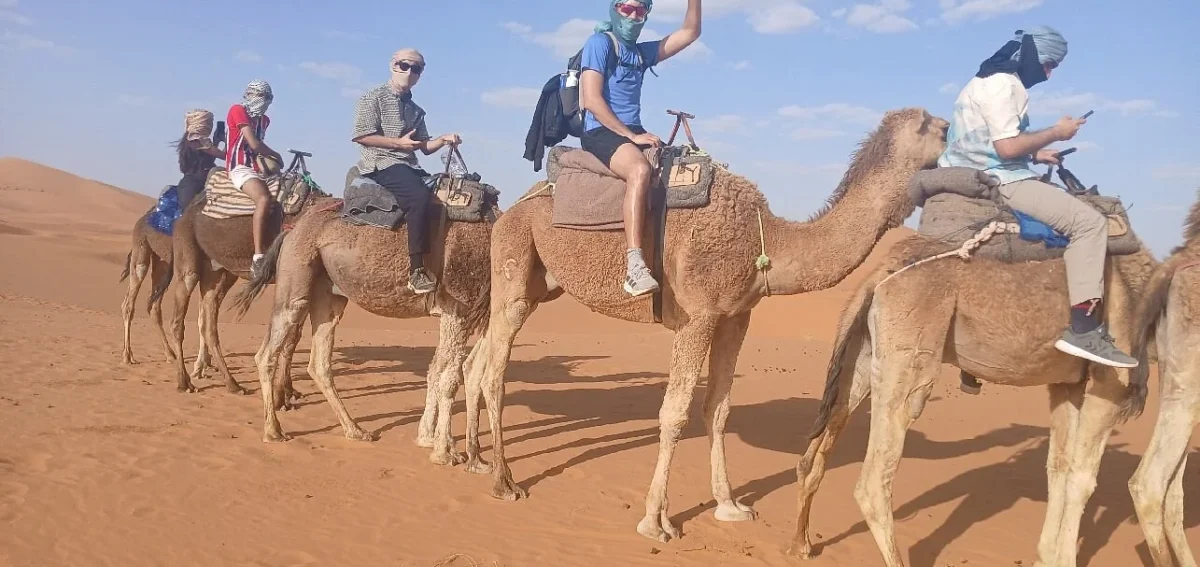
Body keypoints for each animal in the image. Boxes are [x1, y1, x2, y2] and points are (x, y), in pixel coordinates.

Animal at [230, 196, 495, 464]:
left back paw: (355, 431)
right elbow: (449, 378)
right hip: (296, 272)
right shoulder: (459, 307)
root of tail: (290, 232)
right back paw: (273, 431)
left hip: (328, 293)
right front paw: (445, 452)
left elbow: (436, 371)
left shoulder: (453, 315)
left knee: (319, 362)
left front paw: (428, 439)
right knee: (268, 350)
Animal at [458, 107, 950, 542]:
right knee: (495, 368)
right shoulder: (698, 316)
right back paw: (504, 481)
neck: (766, 239)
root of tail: (511, 208)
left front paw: (729, 505)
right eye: (928, 124)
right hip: (515, 257)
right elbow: (674, 412)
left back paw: (474, 460)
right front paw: (655, 521)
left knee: (479, 360)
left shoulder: (736, 317)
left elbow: (718, 408)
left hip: (541, 284)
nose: (950, 127)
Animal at [787, 224, 1158, 565]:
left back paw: (801, 545)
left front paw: (1047, 557)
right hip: (911, 350)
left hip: (865, 353)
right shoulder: (1110, 381)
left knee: (821, 443)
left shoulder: (1066, 384)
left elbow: (1059, 467)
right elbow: (1083, 478)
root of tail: (879, 274)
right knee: (874, 479)